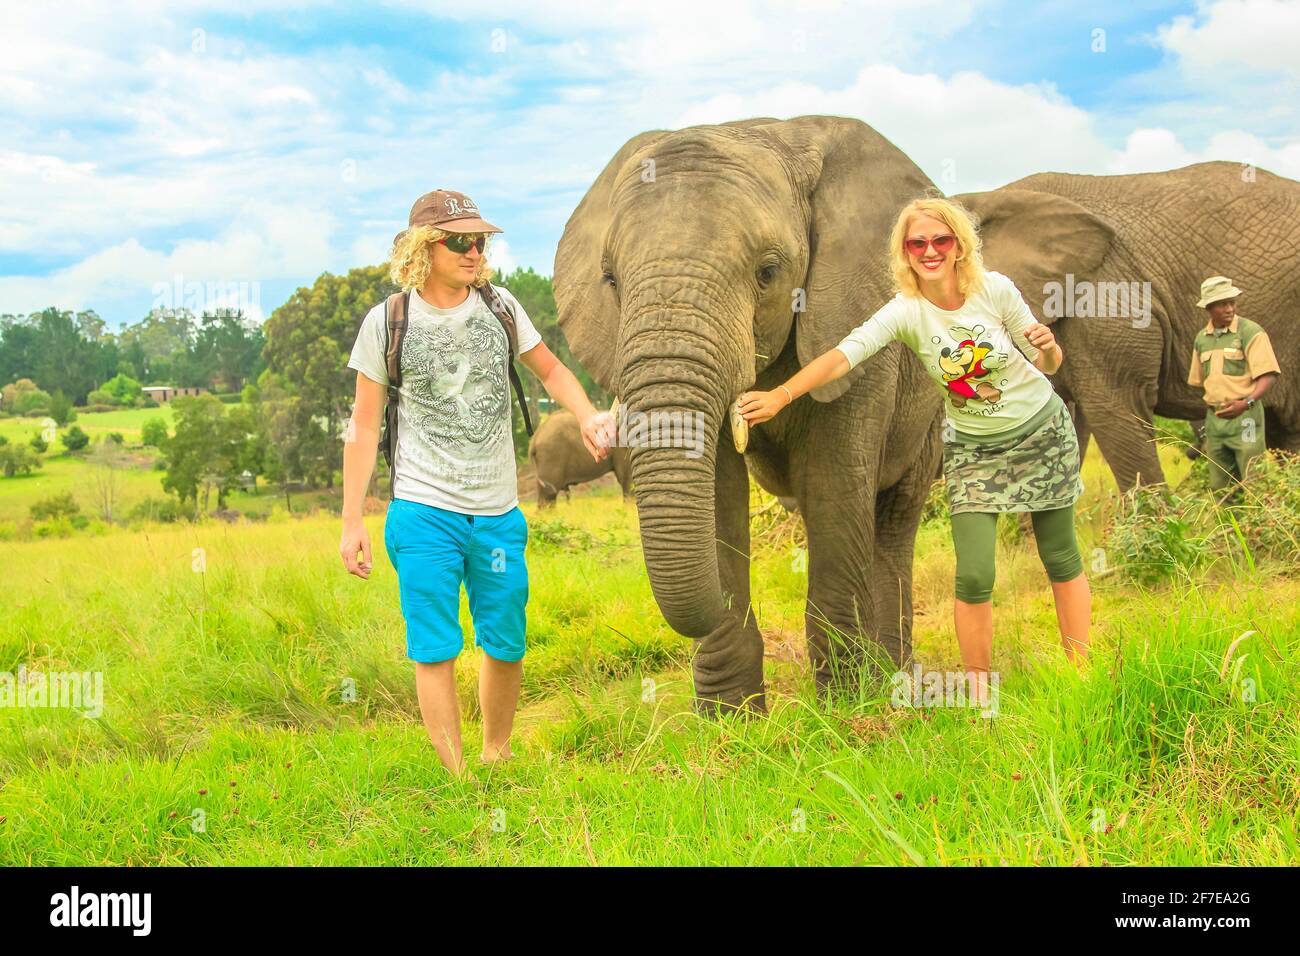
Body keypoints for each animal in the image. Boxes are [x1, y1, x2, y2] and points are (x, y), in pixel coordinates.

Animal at [554, 115, 944, 711]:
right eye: (611, 281)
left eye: (768, 272)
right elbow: (720, 491)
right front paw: (731, 719)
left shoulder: (857, 320)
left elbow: (834, 483)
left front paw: (847, 710)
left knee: (894, 517)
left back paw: (893, 682)